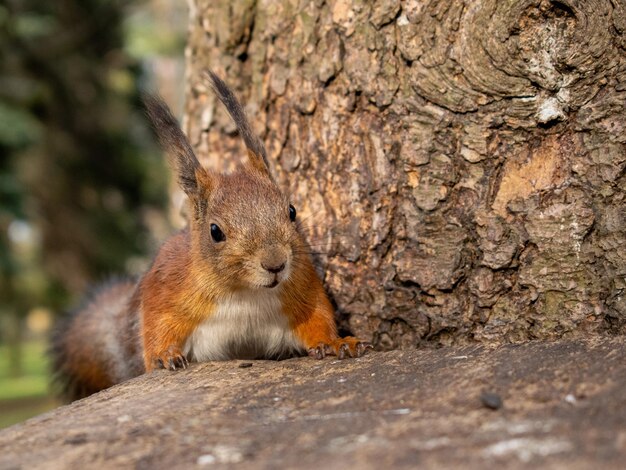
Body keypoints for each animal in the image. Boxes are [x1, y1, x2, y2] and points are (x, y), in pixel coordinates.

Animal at [52, 70, 370, 400]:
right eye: (215, 231)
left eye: (292, 211)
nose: (276, 264)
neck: (244, 291)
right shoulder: (166, 290)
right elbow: (157, 330)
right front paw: (164, 355)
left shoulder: (301, 285)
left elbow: (316, 318)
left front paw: (336, 342)